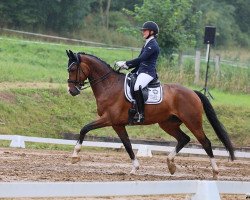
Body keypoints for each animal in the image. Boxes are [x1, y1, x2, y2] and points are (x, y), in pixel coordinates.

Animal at [66, 49, 234, 179]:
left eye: (72, 69)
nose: (72, 91)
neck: (109, 85)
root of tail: (193, 92)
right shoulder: (117, 124)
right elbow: (127, 144)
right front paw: (135, 168)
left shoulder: (108, 119)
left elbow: (84, 128)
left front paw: (75, 156)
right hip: (167, 124)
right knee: (184, 139)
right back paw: (171, 165)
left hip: (192, 122)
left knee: (205, 142)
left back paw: (215, 172)